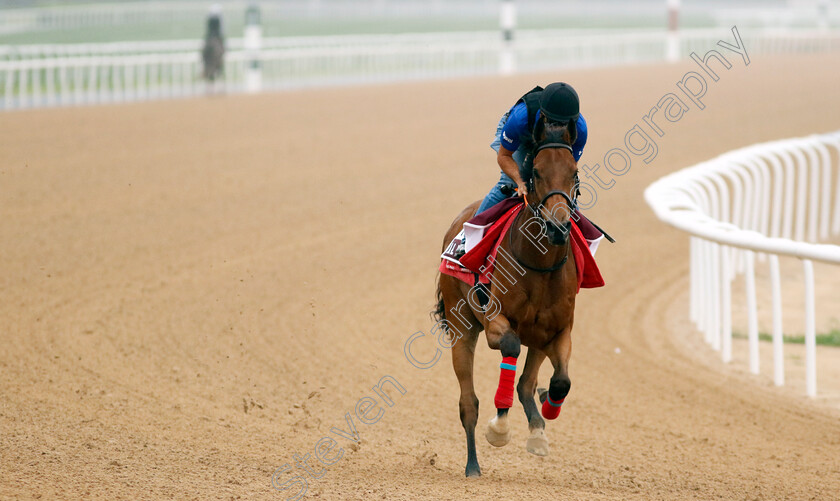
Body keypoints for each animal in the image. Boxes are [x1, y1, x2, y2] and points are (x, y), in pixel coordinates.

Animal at [436, 117, 580, 476]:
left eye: (573, 171)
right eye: (537, 172)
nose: (558, 227)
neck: (540, 265)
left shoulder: (558, 331)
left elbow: (560, 382)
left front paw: (545, 412)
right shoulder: (494, 324)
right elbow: (511, 348)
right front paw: (499, 427)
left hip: (537, 337)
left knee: (526, 383)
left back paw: (538, 424)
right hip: (461, 326)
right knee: (468, 403)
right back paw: (473, 465)